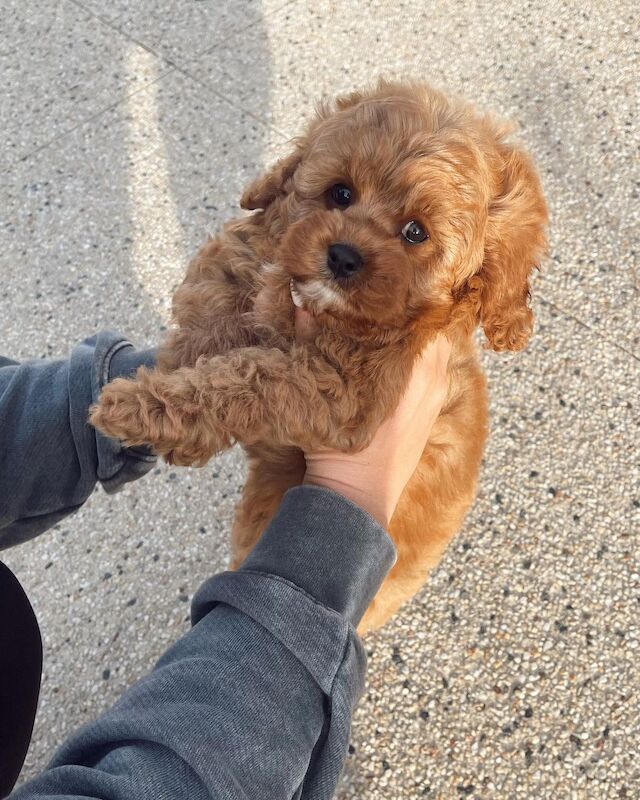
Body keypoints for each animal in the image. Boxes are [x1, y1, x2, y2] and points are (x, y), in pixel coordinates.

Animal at [92, 81, 548, 632]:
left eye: (416, 232)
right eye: (341, 194)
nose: (343, 257)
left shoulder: (345, 394)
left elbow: (252, 382)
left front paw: (144, 407)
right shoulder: (252, 257)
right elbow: (218, 299)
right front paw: (166, 379)